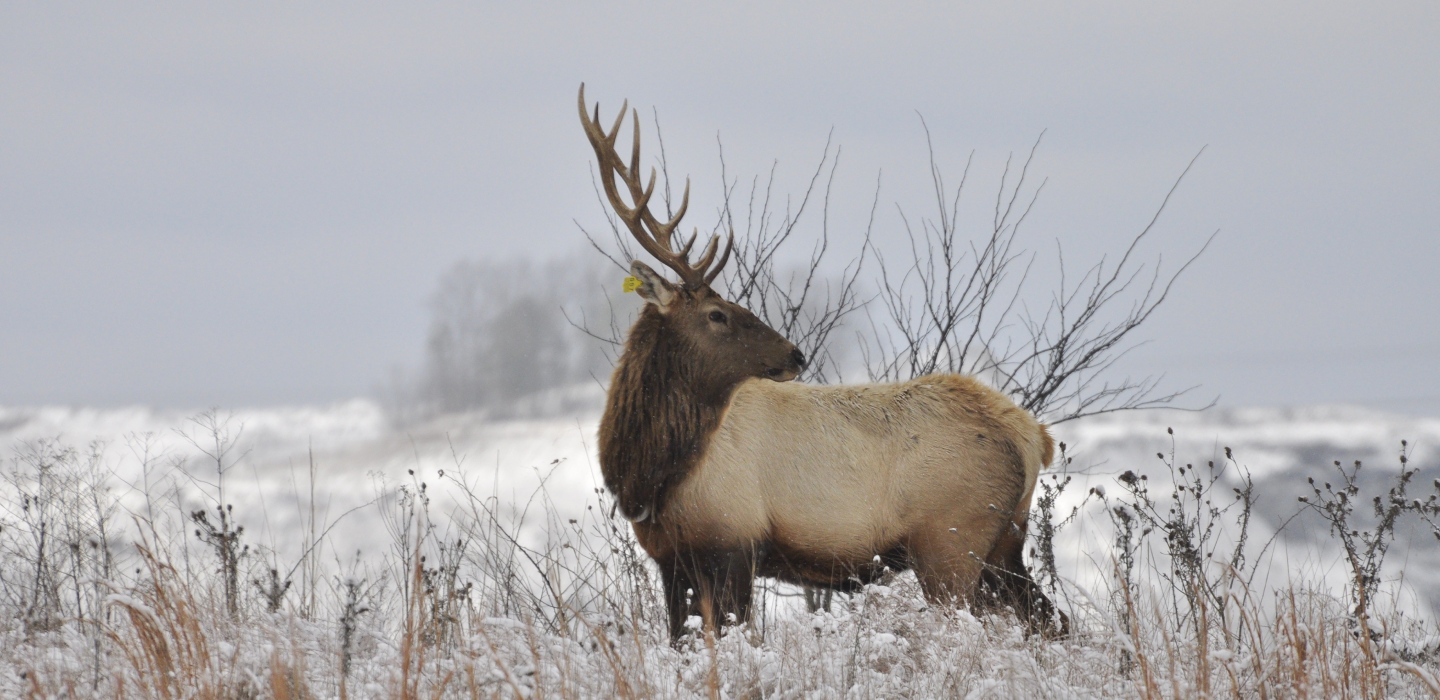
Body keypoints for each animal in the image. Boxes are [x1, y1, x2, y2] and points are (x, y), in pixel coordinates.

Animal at [579, 84, 1066, 642]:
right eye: (716, 314)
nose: (796, 353)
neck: (652, 474)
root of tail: (1034, 437)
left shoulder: (734, 542)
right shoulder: (670, 558)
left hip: (951, 543)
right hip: (1004, 547)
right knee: (1054, 621)